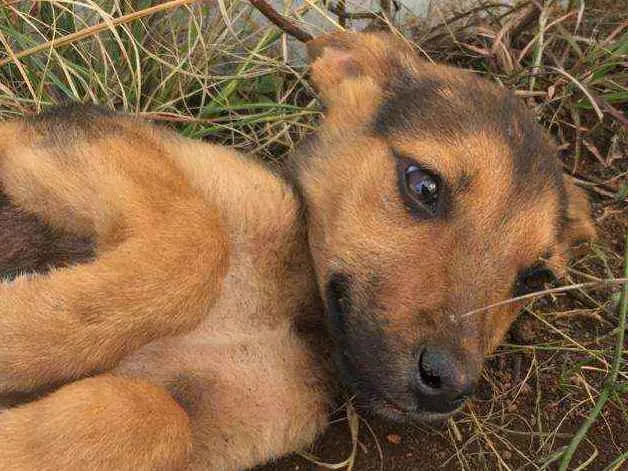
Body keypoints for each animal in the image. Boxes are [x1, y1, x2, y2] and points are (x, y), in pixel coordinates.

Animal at [0, 31, 592, 470]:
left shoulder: (218, 422)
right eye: (423, 185)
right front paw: (17, 333)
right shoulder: (59, 138)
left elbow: (148, 413)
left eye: (534, 278)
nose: (448, 386)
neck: (294, 309)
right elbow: (196, 241)